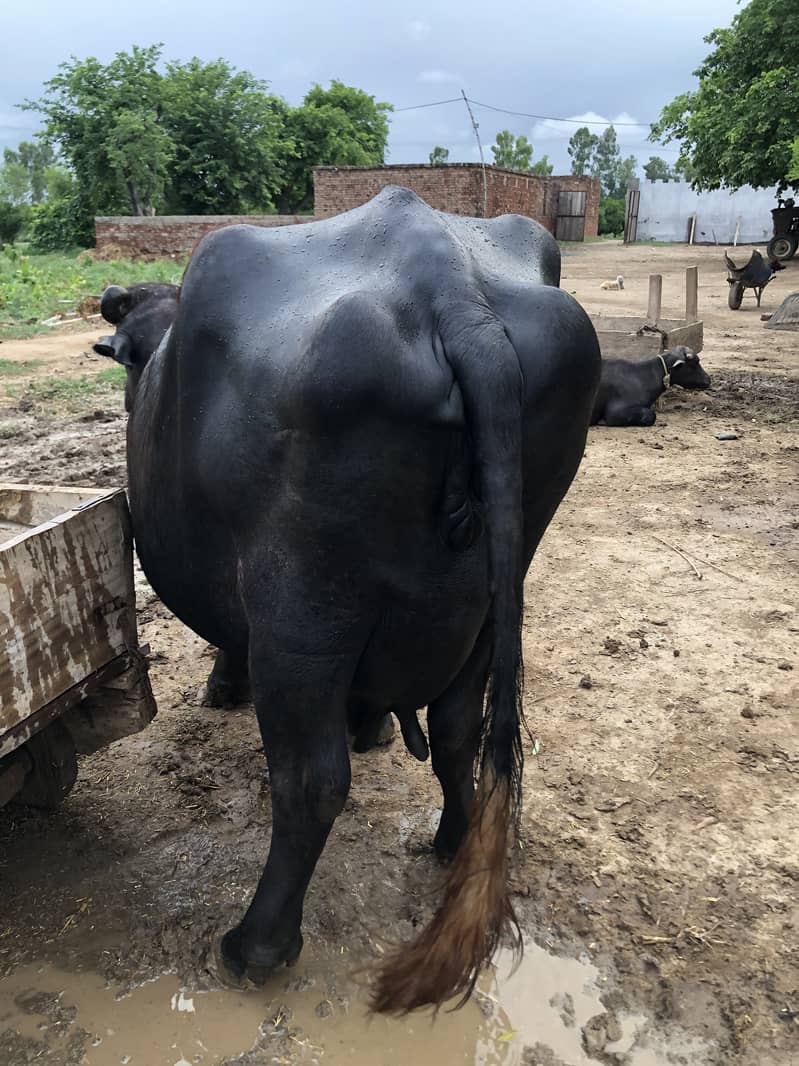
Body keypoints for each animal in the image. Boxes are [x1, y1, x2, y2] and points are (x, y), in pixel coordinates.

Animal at [93, 186, 601, 1014]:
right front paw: (373, 726)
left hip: (302, 611)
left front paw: (224, 688)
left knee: (310, 781)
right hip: (500, 588)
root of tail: (454, 298)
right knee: (458, 730)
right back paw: (452, 842)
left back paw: (255, 945)